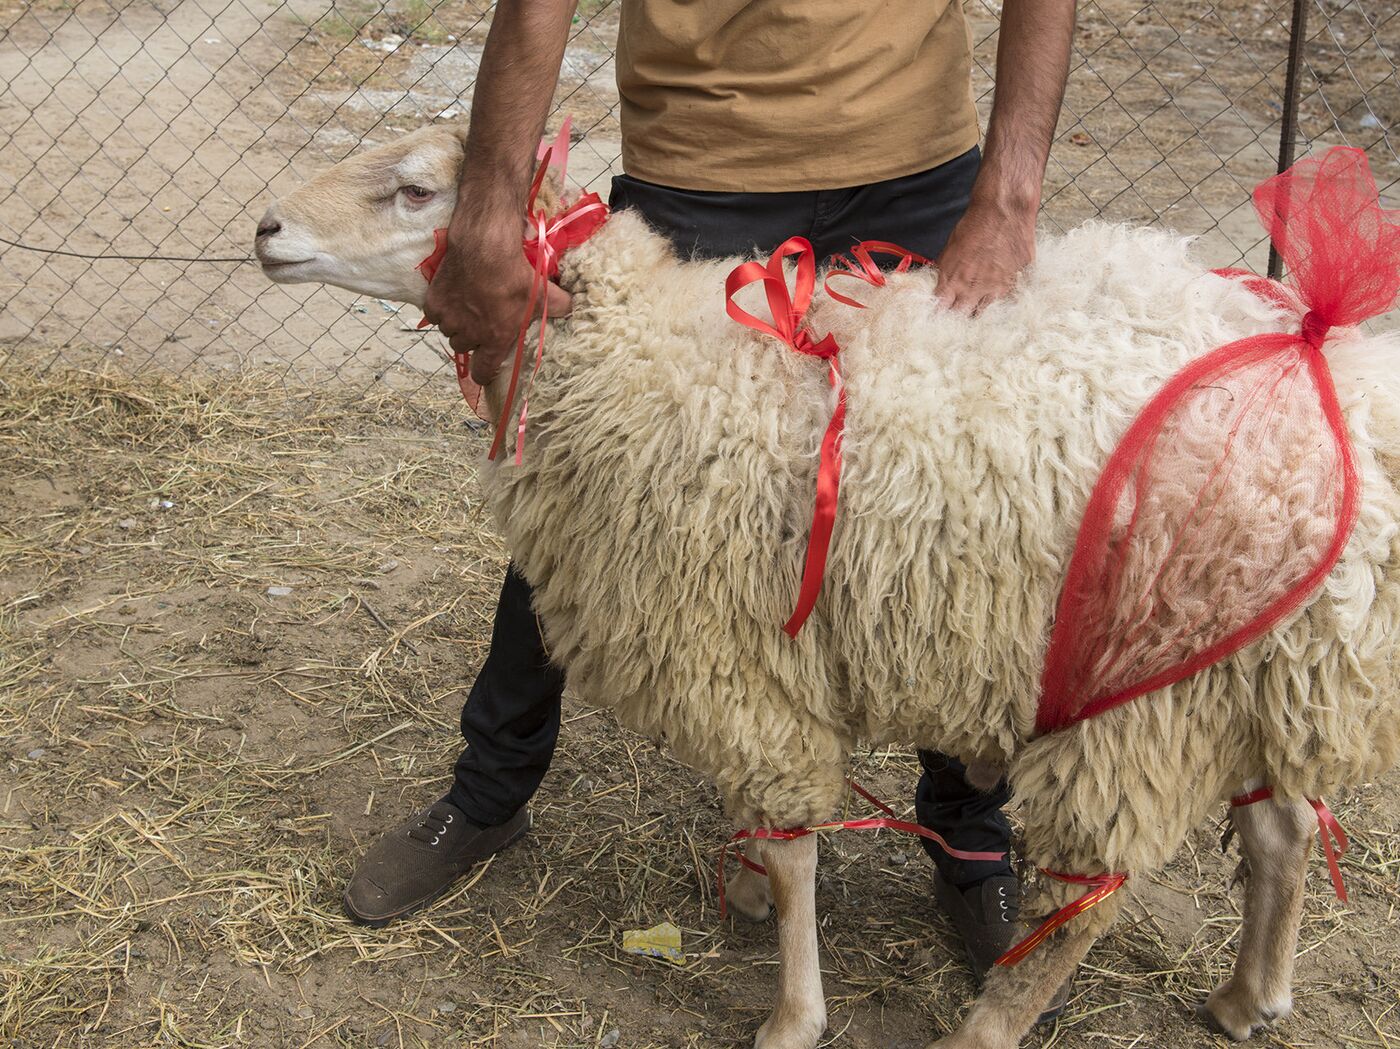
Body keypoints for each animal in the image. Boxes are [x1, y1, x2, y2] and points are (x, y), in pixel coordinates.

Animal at [254, 126, 1400, 1047]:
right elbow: (768, 833)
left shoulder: (738, 658)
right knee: (1283, 827)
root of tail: (1324, 369)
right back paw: (1251, 994)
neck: (631, 352)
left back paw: (989, 1023)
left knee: (1088, 894)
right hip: (1244, 659)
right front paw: (746, 888)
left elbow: (796, 844)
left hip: (1145, 688)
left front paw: (791, 1010)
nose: (266, 227)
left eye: (412, 191)